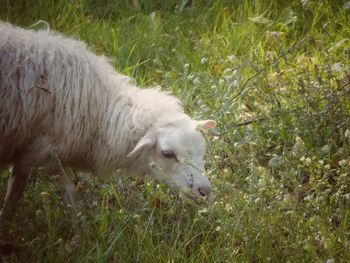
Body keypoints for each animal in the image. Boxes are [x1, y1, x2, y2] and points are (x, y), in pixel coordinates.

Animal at [0, 21, 216, 222]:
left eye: (203, 151)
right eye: (168, 154)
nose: (205, 191)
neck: (99, 111)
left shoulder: (32, 151)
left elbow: (17, 186)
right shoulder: (44, 149)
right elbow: (69, 193)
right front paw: (80, 228)